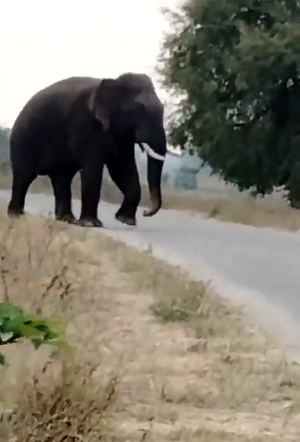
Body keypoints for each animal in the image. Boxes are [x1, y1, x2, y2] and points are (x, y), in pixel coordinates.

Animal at [7, 73, 166, 228]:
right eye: (140, 109)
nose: (145, 212)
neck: (115, 83)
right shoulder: (84, 124)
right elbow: (93, 168)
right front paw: (91, 224)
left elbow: (123, 168)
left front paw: (125, 220)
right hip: (22, 139)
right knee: (24, 175)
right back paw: (16, 216)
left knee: (62, 177)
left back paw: (67, 219)